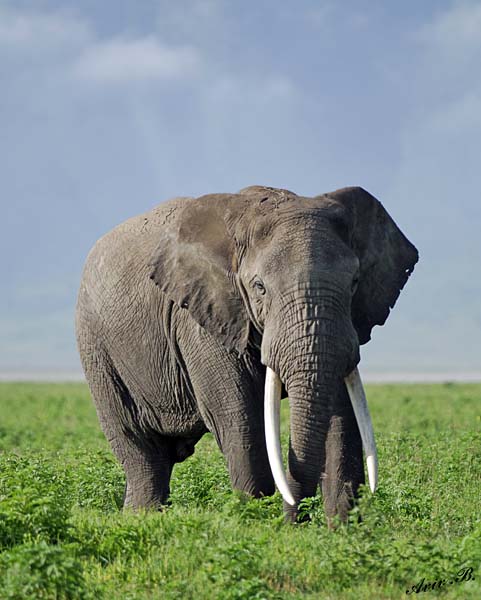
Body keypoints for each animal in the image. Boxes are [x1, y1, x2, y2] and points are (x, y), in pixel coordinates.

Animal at [75, 185, 416, 524]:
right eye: (259, 287)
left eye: (355, 282)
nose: (295, 519)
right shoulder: (202, 317)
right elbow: (240, 419)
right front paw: (257, 521)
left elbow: (343, 412)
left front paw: (344, 528)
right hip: (96, 348)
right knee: (141, 452)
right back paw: (140, 518)